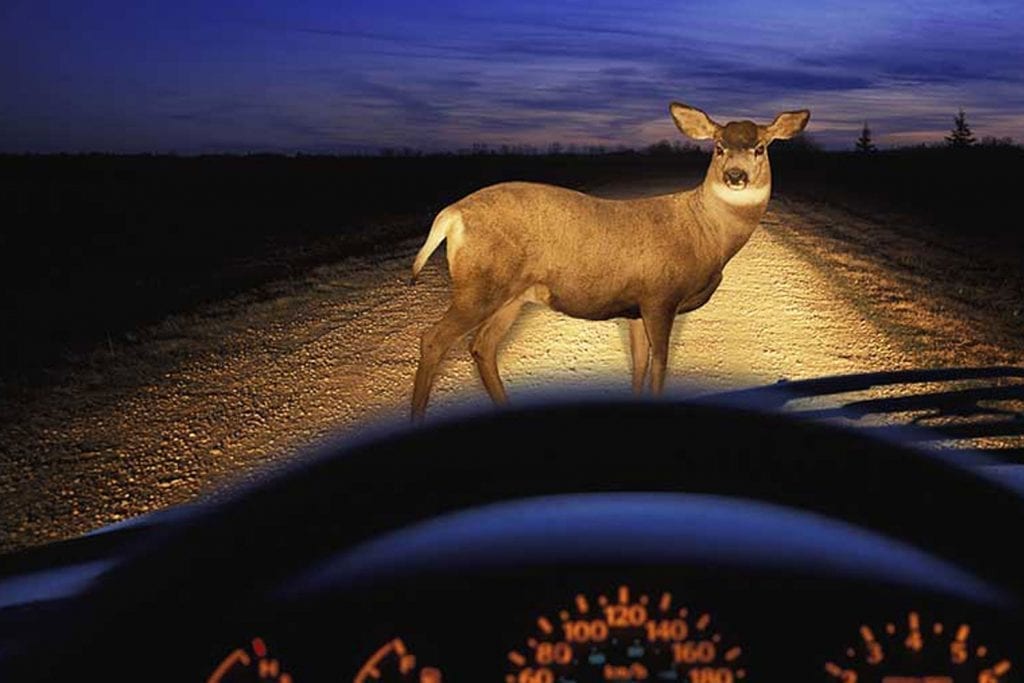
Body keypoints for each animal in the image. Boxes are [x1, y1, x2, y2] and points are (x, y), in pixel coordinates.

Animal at [408, 102, 810, 419]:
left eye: (760, 148)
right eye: (719, 146)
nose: (735, 176)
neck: (707, 235)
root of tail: (452, 214)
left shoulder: (636, 306)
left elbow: (639, 363)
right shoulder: (660, 296)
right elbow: (660, 364)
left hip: (513, 295)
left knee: (482, 346)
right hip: (480, 285)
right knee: (433, 339)